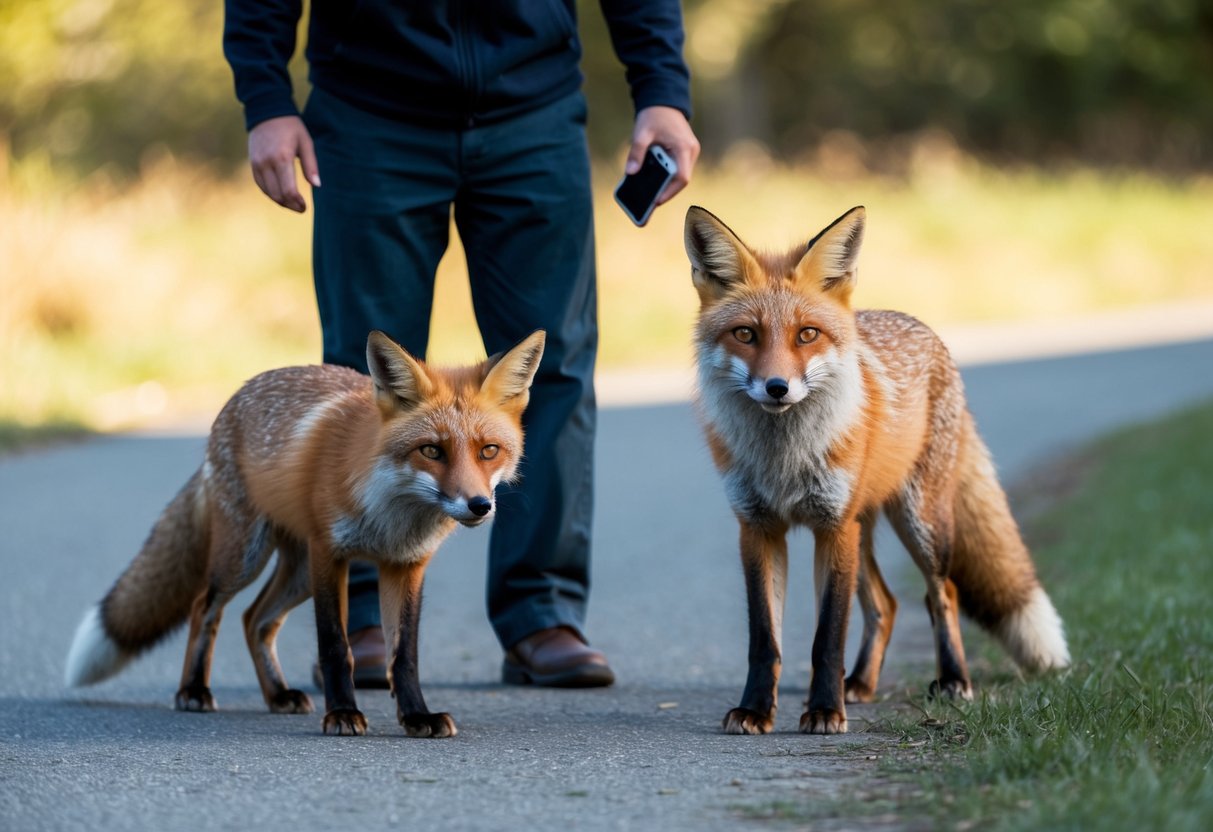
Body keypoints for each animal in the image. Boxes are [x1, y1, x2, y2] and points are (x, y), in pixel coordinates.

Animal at [65, 329, 546, 738]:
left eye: (489, 451)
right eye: (431, 450)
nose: (479, 505)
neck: (390, 515)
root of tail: (237, 395)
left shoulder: (406, 565)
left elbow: (404, 655)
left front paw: (416, 717)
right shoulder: (330, 554)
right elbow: (335, 645)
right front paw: (344, 713)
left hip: (296, 574)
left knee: (255, 620)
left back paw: (278, 694)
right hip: (246, 557)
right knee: (207, 607)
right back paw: (194, 691)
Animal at [684, 205, 1069, 735]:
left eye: (807, 334)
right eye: (746, 334)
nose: (777, 387)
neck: (785, 459)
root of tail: (923, 328)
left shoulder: (832, 527)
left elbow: (827, 638)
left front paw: (824, 711)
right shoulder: (758, 527)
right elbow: (765, 640)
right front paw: (757, 710)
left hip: (918, 524)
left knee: (942, 594)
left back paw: (953, 680)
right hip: (862, 529)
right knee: (887, 605)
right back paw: (861, 684)